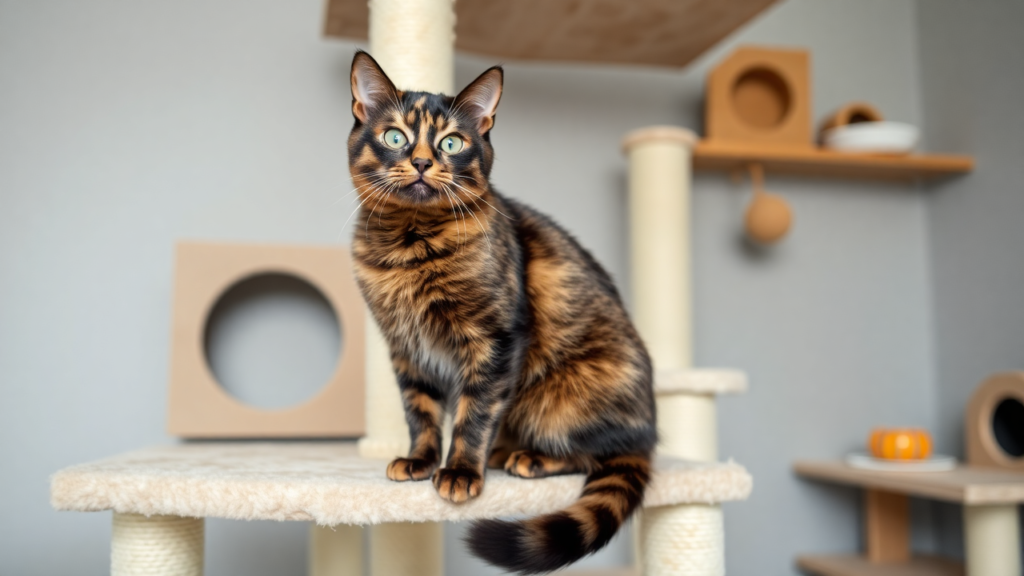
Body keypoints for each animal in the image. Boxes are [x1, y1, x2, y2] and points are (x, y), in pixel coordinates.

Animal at [348, 51, 655, 569]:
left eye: (452, 142)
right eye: (395, 137)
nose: (422, 161)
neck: (410, 244)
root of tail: (649, 432)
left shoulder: (493, 340)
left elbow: (473, 414)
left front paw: (459, 471)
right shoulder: (406, 348)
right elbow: (421, 412)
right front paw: (421, 460)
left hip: (558, 397)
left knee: (593, 453)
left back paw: (526, 457)